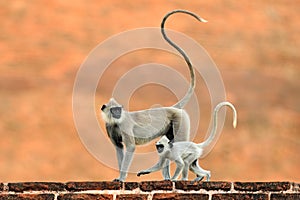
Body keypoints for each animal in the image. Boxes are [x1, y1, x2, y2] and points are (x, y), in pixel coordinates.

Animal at [100, 9, 206, 181]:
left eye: (118, 110)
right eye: (114, 110)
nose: (117, 113)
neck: (116, 122)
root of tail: (172, 108)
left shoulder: (124, 125)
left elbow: (130, 147)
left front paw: (121, 178)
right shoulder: (110, 127)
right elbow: (118, 148)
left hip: (181, 120)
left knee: (180, 143)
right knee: (169, 146)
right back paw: (168, 177)